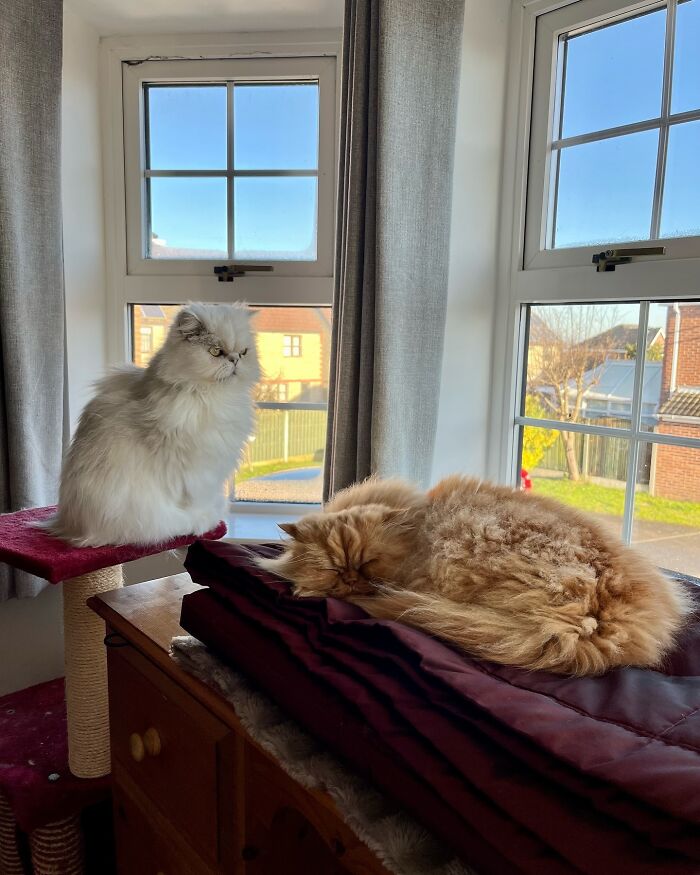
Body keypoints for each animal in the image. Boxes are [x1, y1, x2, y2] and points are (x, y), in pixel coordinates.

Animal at [45, 304, 260, 544]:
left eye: (244, 352)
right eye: (215, 352)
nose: (235, 360)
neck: (213, 398)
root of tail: (69, 526)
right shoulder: (195, 471)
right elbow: (196, 502)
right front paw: (204, 522)